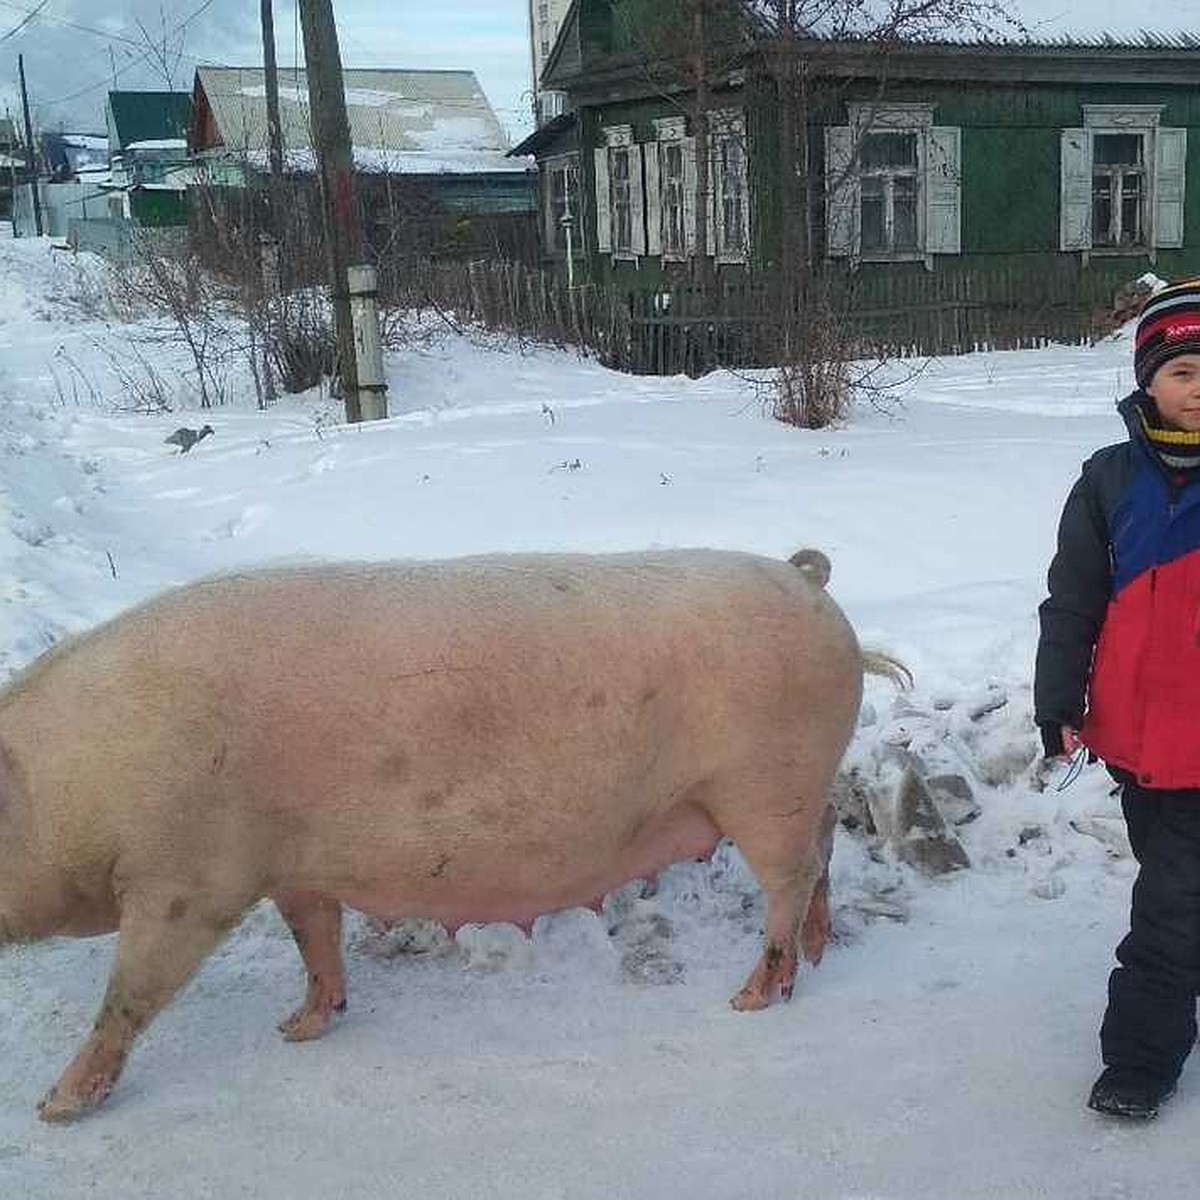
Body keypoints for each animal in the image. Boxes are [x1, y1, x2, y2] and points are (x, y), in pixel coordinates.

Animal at [0, 549, 902, 1118]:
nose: (290, 1029)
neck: (70, 781)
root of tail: (808, 583)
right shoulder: (294, 868)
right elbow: (315, 943)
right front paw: (297, 1030)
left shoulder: (188, 879)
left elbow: (127, 996)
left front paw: (53, 1108)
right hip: (792, 788)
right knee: (825, 844)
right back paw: (818, 956)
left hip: (764, 787)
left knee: (790, 878)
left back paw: (752, 997)